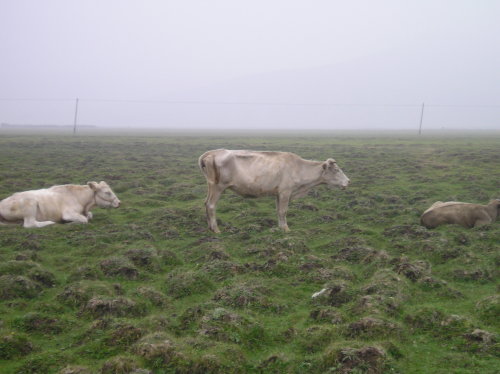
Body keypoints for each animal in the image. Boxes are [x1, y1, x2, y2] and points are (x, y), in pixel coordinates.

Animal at [197, 148, 350, 231]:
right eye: (336, 170)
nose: (348, 181)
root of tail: (212, 153)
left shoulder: (278, 193)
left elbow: (278, 211)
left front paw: (280, 227)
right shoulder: (285, 192)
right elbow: (283, 211)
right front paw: (286, 229)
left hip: (211, 186)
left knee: (206, 203)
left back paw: (210, 227)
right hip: (218, 186)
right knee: (211, 205)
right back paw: (216, 229)